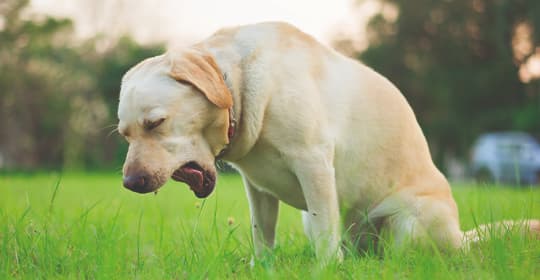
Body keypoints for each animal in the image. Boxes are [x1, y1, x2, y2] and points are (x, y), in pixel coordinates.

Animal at [116, 21, 536, 262]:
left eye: (155, 123)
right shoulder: (257, 188)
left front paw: (324, 269)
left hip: (408, 222)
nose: (131, 183)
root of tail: (461, 239)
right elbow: (262, 235)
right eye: (125, 133)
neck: (237, 81)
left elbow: (323, 235)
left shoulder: (313, 163)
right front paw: (262, 269)